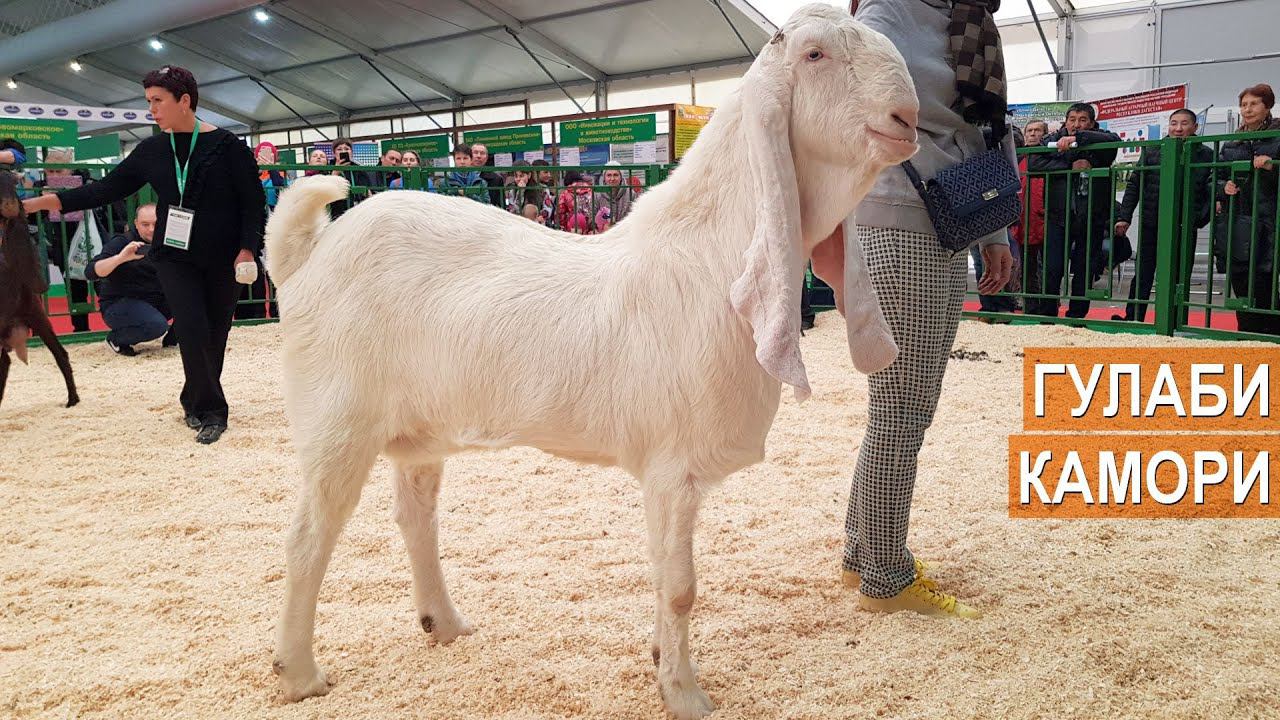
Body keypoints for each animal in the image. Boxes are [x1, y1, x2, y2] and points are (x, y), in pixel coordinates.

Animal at [266, 5, 919, 718]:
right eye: (815, 55)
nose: (908, 117)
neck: (705, 260)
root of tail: (305, 258)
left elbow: (663, 579)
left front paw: (662, 660)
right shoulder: (673, 467)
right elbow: (681, 587)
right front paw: (685, 694)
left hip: (420, 428)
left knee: (415, 516)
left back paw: (445, 623)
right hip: (337, 420)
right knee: (307, 538)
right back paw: (299, 672)